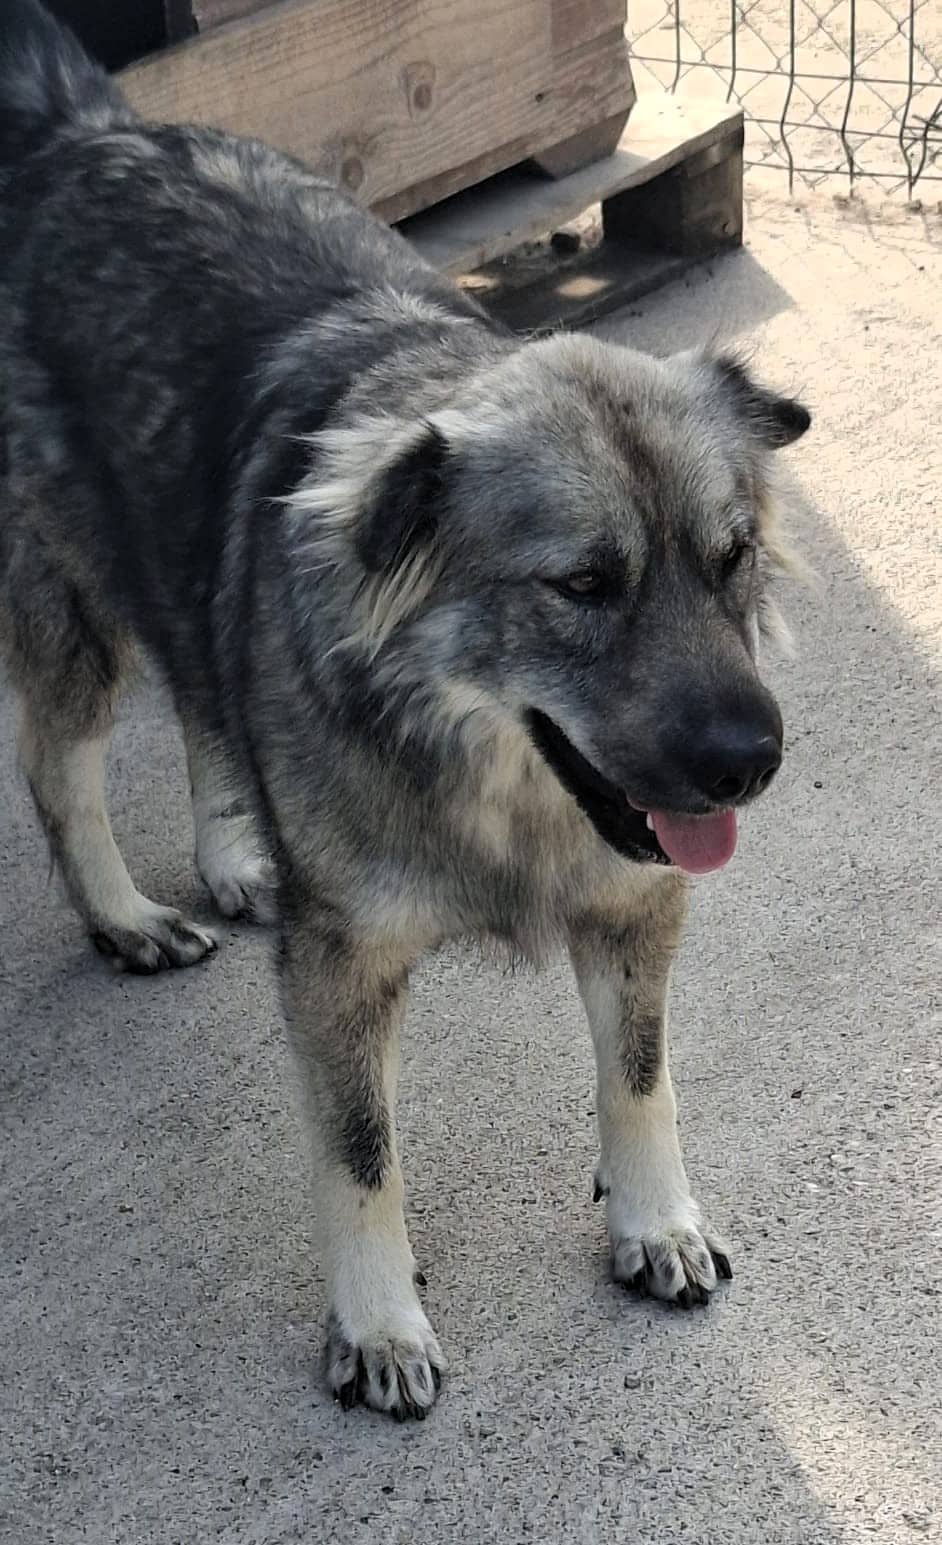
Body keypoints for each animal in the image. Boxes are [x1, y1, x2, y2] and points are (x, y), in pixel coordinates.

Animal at [0, 0, 810, 1419]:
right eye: (582, 586)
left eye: (732, 558)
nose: (750, 762)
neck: (494, 788)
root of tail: (85, 130)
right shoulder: (341, 964)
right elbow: (360, 1154)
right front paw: (377, 1324)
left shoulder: (635, 901)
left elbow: (641, 1078)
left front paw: (654, 1220)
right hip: (80, 584)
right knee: (59, 758)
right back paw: (122, 917)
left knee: (209, 695)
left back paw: (233, 851)